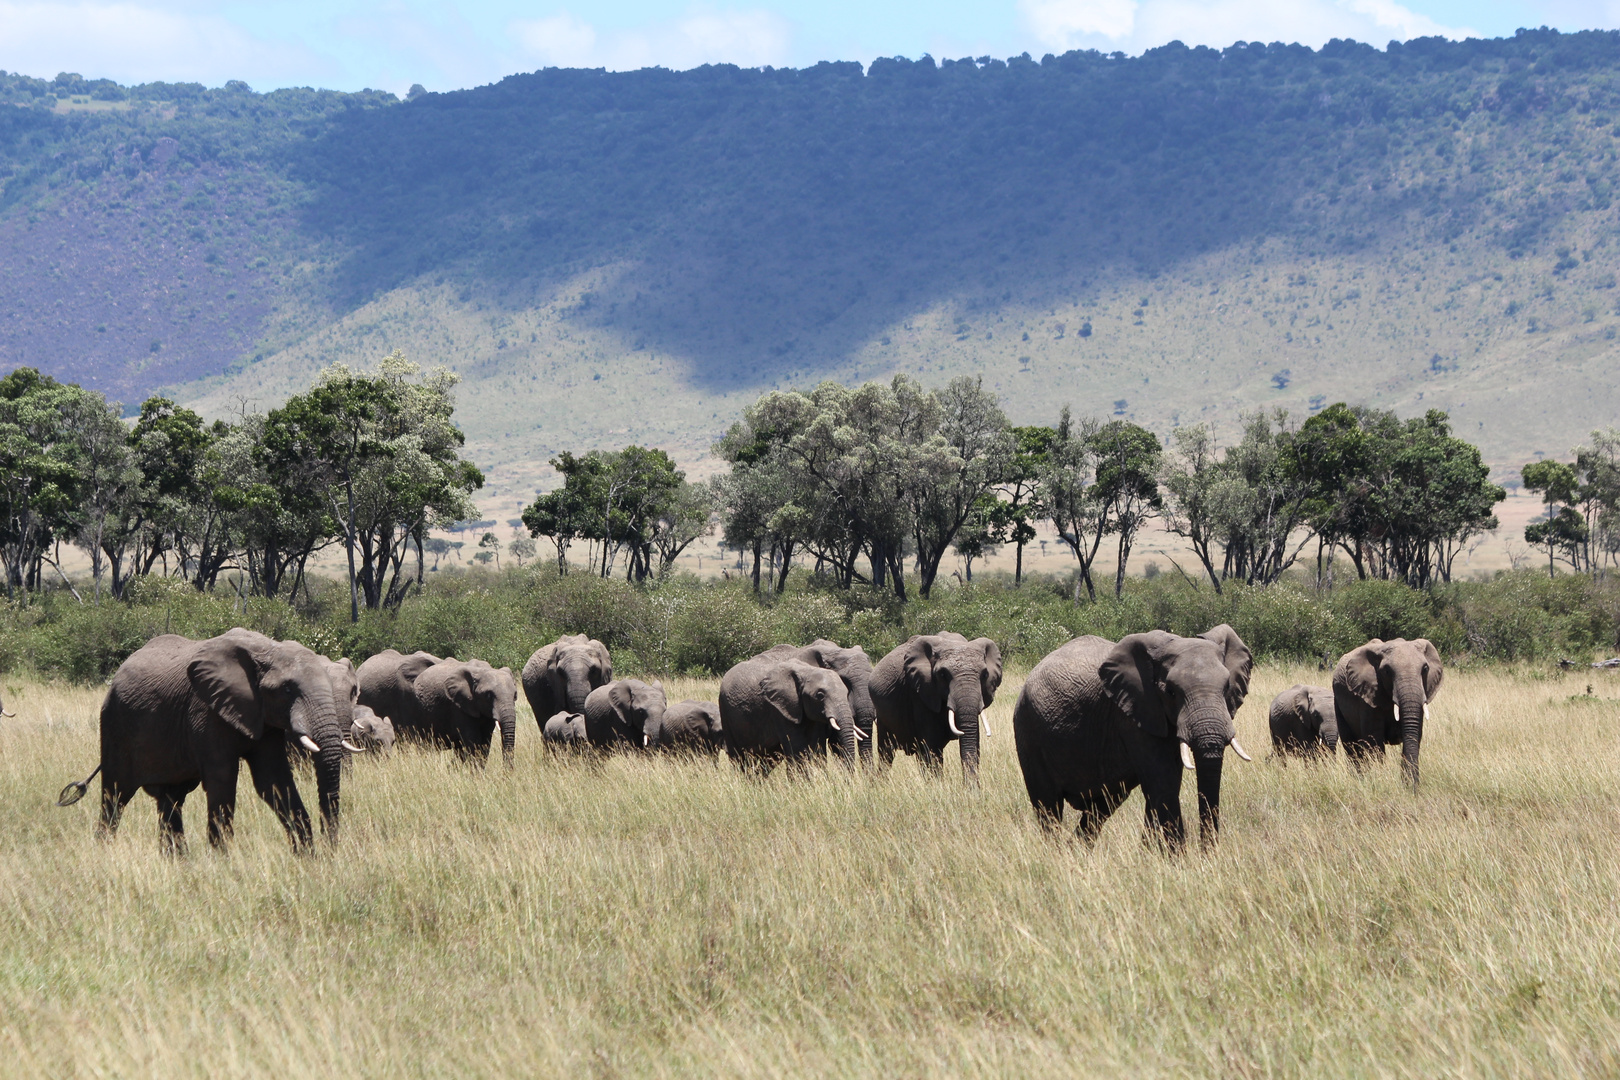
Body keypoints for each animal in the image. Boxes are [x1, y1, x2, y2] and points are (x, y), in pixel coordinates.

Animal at [65, 625, 354, 854]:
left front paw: (306, 858)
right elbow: (222, 779)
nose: (331, 850)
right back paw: (105, 850)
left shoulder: (263, 717)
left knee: (171, 800)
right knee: (115, 795)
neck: (267, 648)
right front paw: (222, 862)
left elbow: (272, 780)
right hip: (114, 723)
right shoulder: (206, 711)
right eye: (287, 689)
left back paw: (177, 861)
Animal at [716, 654, 855, 773]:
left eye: (846, 692)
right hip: (725, 711)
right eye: (820, 695)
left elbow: (816, 746)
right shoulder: (779, 708)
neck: (806, 671)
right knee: (738, 758)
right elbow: (797, 748)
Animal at [874, 634, 997, 786]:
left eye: (985, 675)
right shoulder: (921, 692)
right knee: (886, 752)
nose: (971, 787)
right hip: (882, 717)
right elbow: (932, 746)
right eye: (943, 675)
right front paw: (937, 787)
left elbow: (973, 740)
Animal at [1010, 625, 1250, 854]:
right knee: (1048, 806)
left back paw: (1076, 853)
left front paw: (1150, 857)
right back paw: (1056, 855)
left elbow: (1164, 786)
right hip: (1028, 730)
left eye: (1226, 687)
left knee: (1100, 808)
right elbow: (1163, 783)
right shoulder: (1132, 714)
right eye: (1171, 692)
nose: (1208, 854)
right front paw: (1178, 861)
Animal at [1328, 637, 1445, 790]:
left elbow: (1413, 735)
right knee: (1352, 746)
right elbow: (1374, 741)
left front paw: (1408, 787)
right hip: (1338, 702)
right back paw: (1359, 780)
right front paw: (1382, 781)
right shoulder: (1368, 698)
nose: (1415, 790)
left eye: (1425, 669)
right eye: (1387, 671)